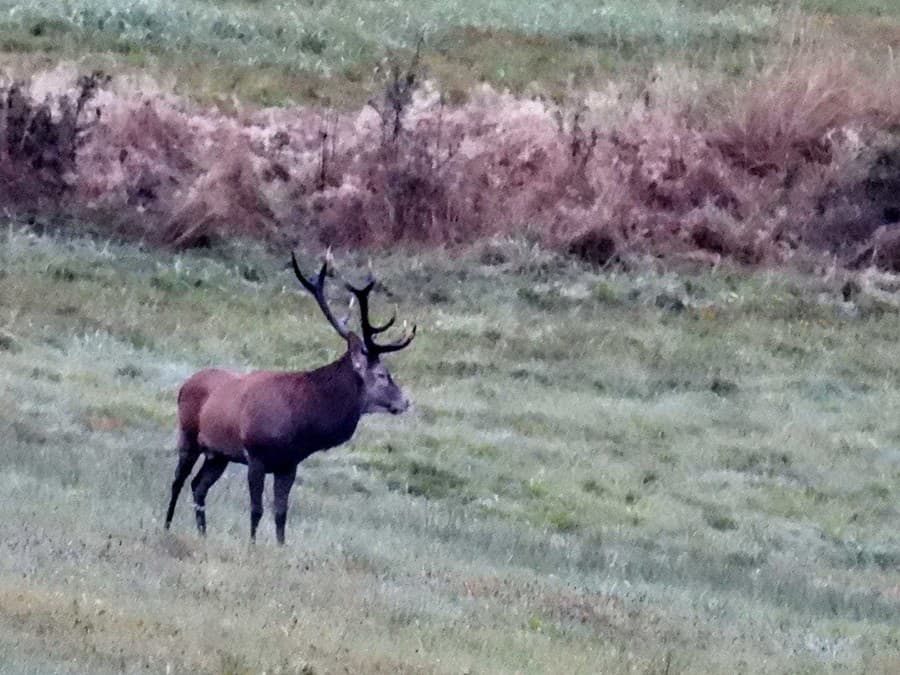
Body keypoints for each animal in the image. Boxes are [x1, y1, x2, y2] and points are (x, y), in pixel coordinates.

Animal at [163, 254, 416, 544]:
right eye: (383, 374)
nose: (405, 401)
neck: (301, 425)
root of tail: (185, 384)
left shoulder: (289, 464)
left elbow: (281, 513)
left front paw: (280, 547)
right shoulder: (256, 455)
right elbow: (257, 509)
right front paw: (252, 545)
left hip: (219, 454)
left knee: (198, 485)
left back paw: (203, 533)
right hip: (188, 435)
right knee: (178, 481)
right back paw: (167, 526)